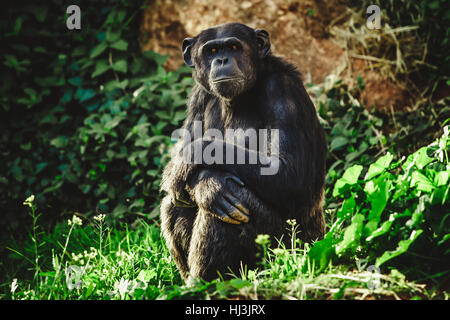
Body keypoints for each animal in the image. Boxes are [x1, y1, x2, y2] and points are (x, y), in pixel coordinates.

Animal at [159, 22, 326, 282]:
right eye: (212, 50)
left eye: (234, 47)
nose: (222, 59)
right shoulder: (198, 97)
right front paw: (201, 181)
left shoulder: (283, 91)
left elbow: (288, 175)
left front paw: (190, 161)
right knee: (175, 203)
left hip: (289, 250)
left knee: (228, 200)